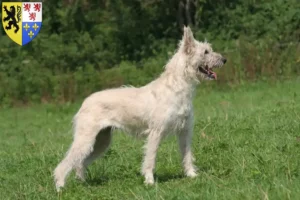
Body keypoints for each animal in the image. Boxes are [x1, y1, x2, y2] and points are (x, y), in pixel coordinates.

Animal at [54, 26, 227, 191]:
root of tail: (84, 102)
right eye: (205, 52)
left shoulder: (185, 131)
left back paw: (83, 183)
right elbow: (150, 159)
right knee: (65, 164)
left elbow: (187, 155)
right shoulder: (156, 133)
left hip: (101, 141)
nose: (224, 59)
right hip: (85, 139)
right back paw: (60, 187)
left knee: (80, 163)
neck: (177, 87)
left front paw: (191, 175)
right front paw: (149, 181)